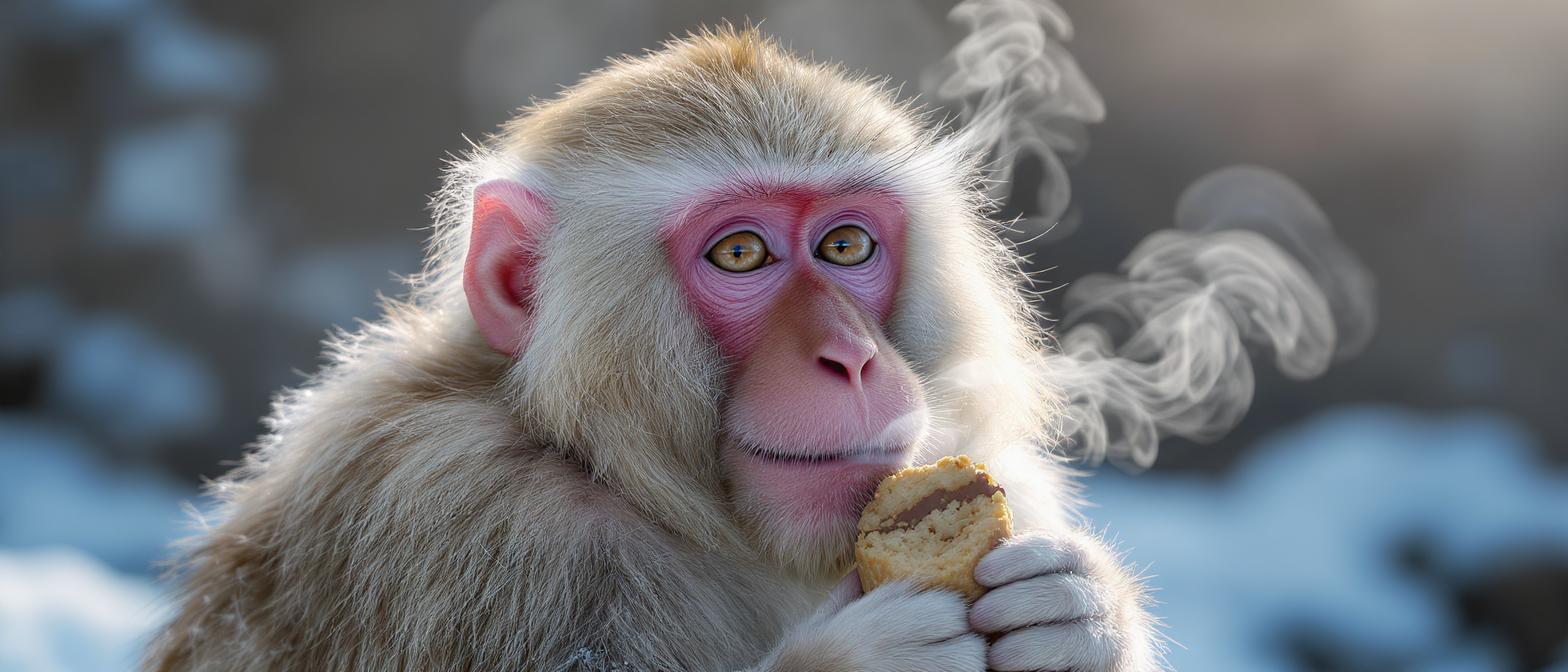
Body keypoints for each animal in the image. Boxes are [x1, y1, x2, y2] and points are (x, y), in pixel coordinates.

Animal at [145, 27, 1162, 672]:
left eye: (845, 245)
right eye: (741, 254)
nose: (852, 358)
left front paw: (1086, 613)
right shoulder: (467, 517)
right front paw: (848, 663)